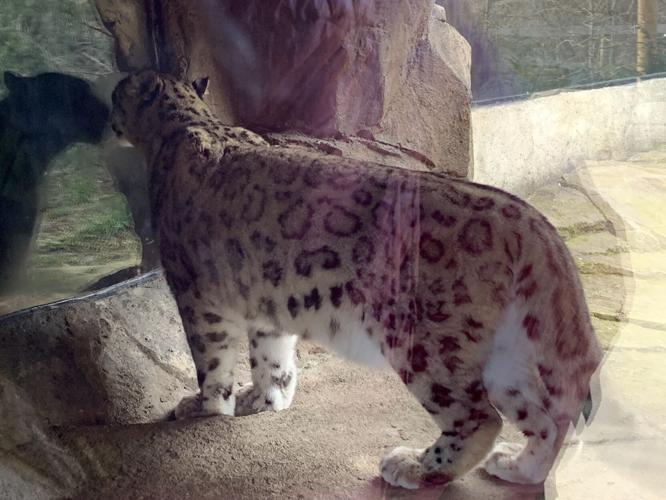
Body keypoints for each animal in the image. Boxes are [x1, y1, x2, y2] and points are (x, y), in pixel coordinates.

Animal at [110, 69, 602, 490]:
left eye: (116, 93)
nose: (106, 114)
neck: (186, 124)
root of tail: (530, 222)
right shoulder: (264, 301)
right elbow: (271, 356)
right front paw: (266, 399)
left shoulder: (195, 295)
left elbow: (211, 362)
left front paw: (206, 408)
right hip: (509, 356)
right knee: (547, 417)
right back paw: (517, 466)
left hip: (425, 344)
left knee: (480, 417)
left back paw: (414, 465)